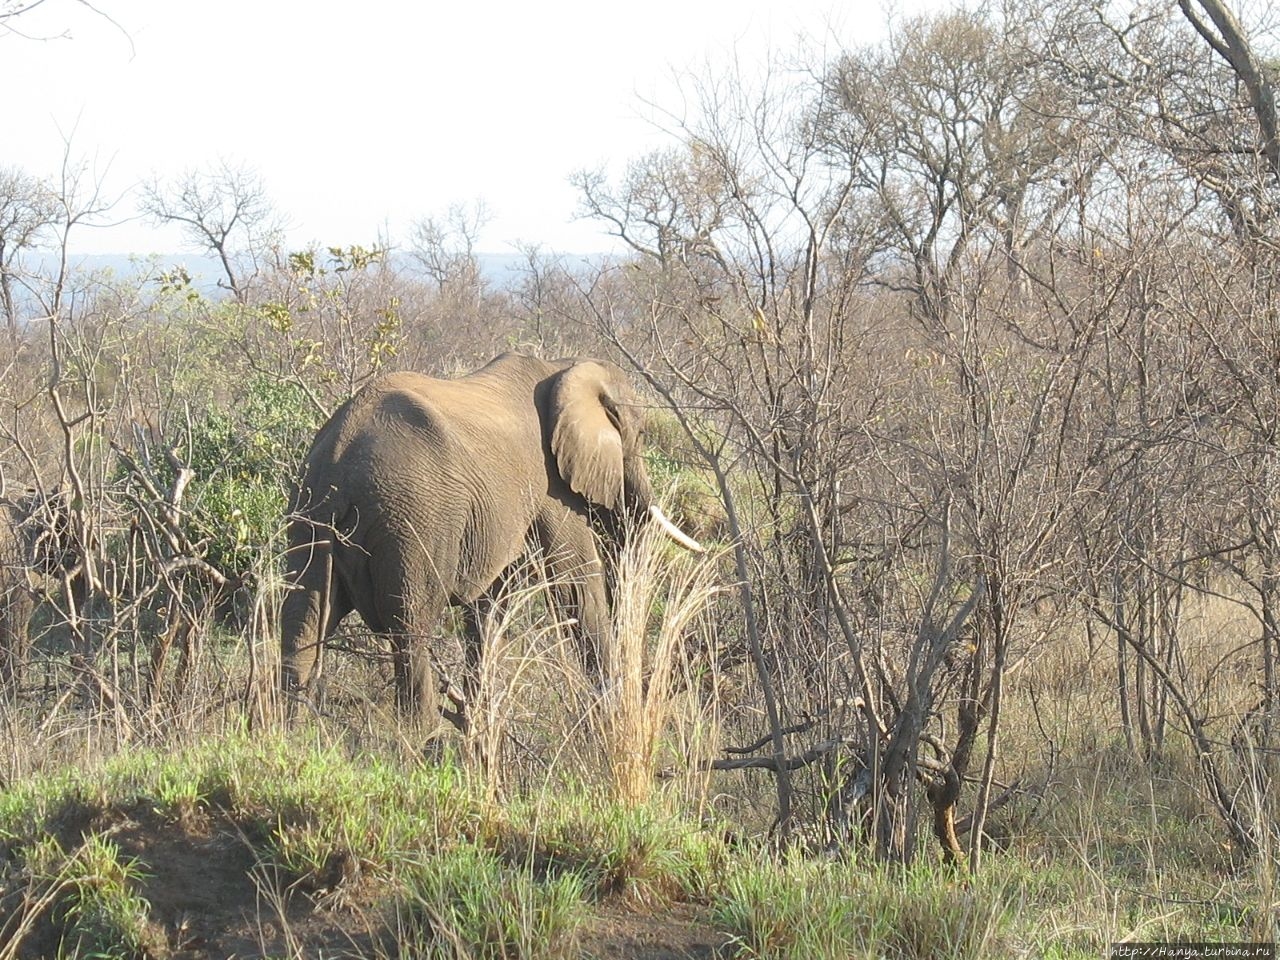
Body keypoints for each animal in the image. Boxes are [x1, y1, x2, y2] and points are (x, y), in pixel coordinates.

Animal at [280, 358, 701, 727]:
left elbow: (491, 604)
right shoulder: (549, 486)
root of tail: (340, 461)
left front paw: (481, 723)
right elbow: (576, 588)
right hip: (411, 521)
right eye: (642, 434)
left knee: (302, 622)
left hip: (309, 515)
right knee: (410, 629)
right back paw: (425, 742)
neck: (562, 368)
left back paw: (286, 733)